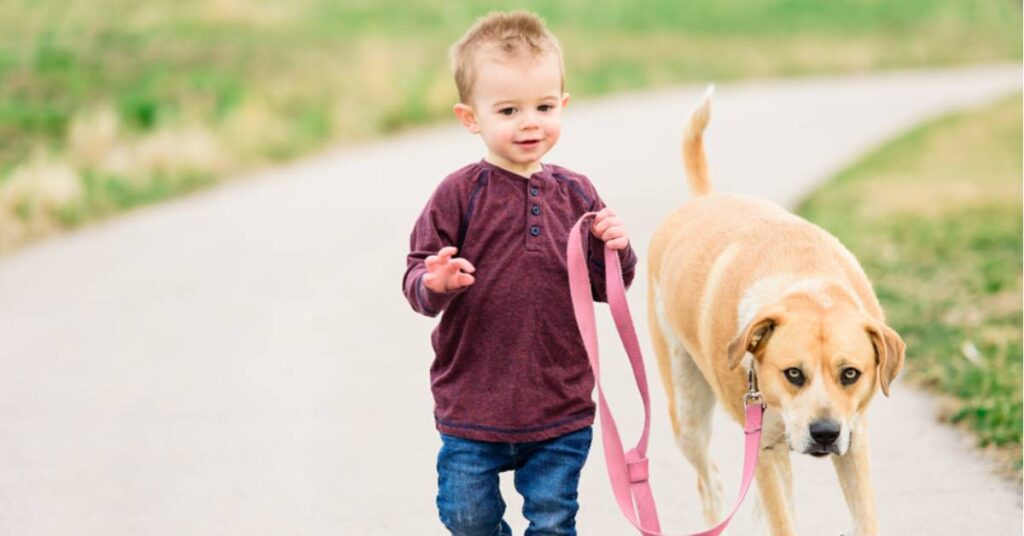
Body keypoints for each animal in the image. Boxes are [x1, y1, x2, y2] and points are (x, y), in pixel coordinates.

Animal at [647, 89, 905, 536]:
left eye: (850, 374)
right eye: (794, 374)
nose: (824, 433)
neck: (804, 284)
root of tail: (703, 200)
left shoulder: (854, 436)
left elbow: (866, 518)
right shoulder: (766, 447)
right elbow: (781, 519)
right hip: (687, 414)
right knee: (710, 482)